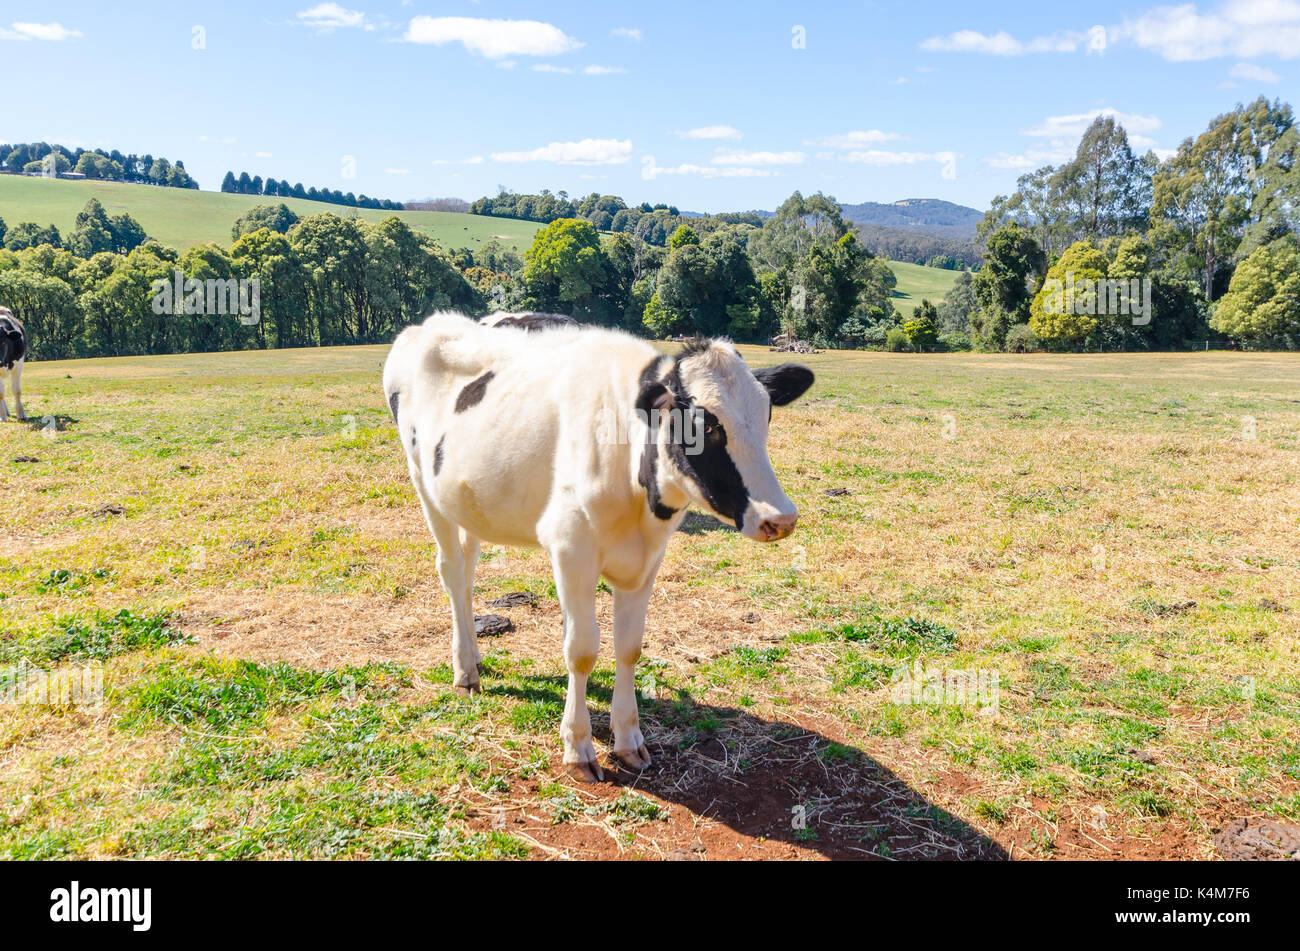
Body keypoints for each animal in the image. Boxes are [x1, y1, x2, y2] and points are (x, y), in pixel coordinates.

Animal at [382, 311, 811, 779]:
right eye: (706, 425)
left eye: (766, 415)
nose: (780, 519)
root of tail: (435, 323)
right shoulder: (571, 550)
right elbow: (582, 650)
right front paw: (578, 747)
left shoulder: (647, 560)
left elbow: (630, 646)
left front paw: (627, 740)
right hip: (425, 487)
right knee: (453, 572)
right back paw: (465, 671)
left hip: (467, 501)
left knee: (469, 567)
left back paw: (474, 658)